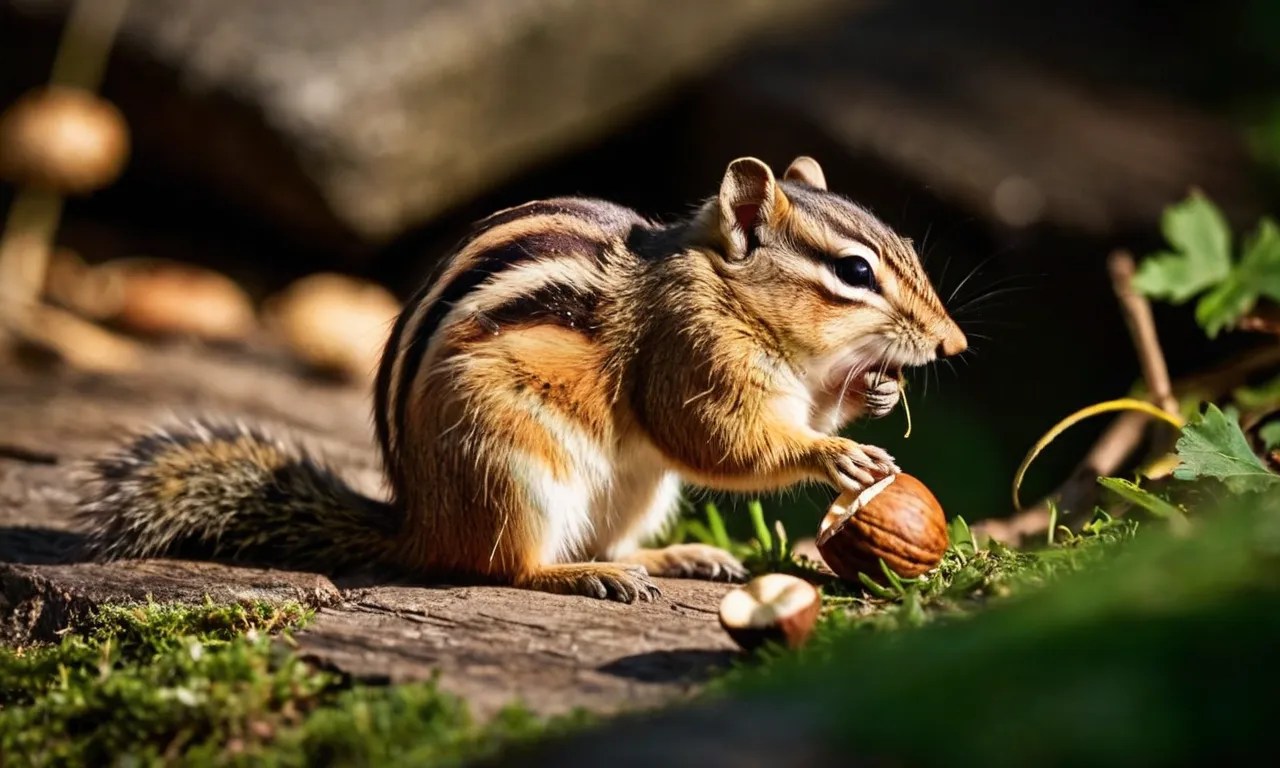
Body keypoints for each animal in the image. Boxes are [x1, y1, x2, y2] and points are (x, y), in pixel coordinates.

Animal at [76, 155, 967, 604]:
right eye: (854, 272)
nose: (952, 344)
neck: (722, 287)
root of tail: (418, 524)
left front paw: (872, 395)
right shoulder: (688, 357)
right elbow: (721, 443)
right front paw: (835, 456)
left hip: (635, 489)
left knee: (611, 536)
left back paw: (673, 559)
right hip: (511, 467)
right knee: (504, 567)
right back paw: (585, 576)